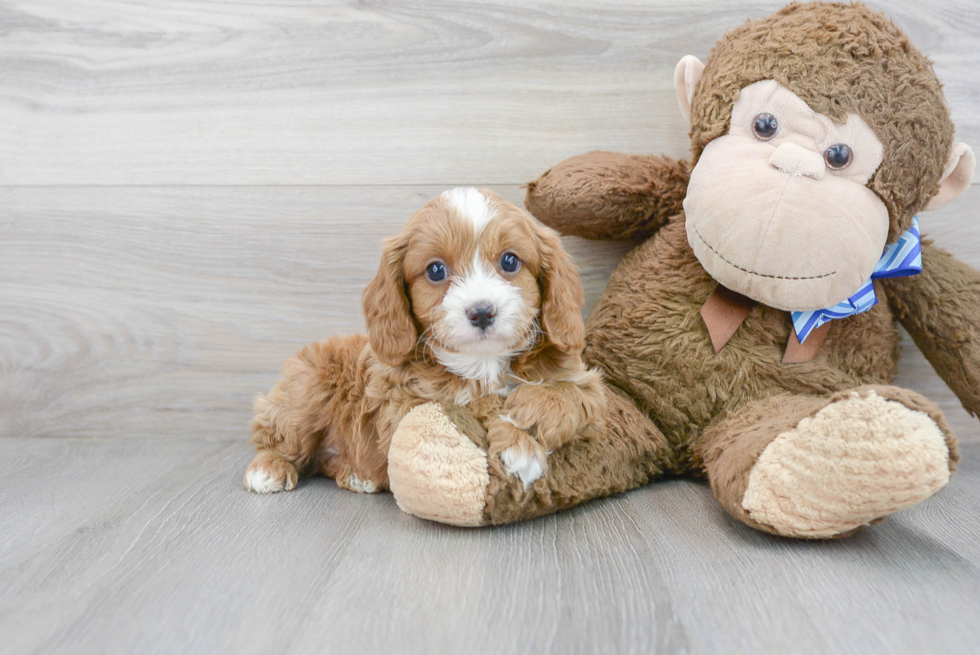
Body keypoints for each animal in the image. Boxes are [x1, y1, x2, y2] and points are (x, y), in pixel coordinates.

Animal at [245, 187, 604, 494]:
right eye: (435, 270)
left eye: (510, 261)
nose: (482, 313)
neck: (483, 362)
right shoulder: (404, 405)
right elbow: (473, 403)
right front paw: (519, 442)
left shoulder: (588, 386)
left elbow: (572, 394)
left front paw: (527, 415)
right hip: (306, 388)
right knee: (277, 435)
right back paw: (268, 468)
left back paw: (356, 474)